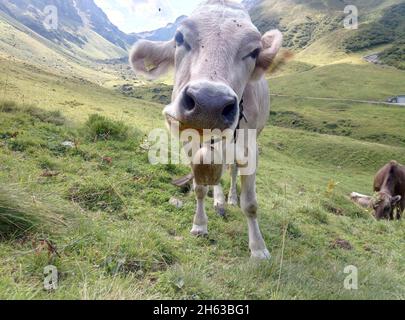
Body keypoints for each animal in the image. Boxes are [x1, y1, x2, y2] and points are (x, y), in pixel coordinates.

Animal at [129, 0, 280, 258]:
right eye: (179, 37)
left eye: (254, 52)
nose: (209, 103)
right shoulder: (190, 145)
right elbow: (199, 187)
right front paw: (200, 224)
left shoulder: (250, 150)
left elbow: (250, 203)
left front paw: (258, 249)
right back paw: (219, 200)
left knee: (231, 171)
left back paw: (230, 198)